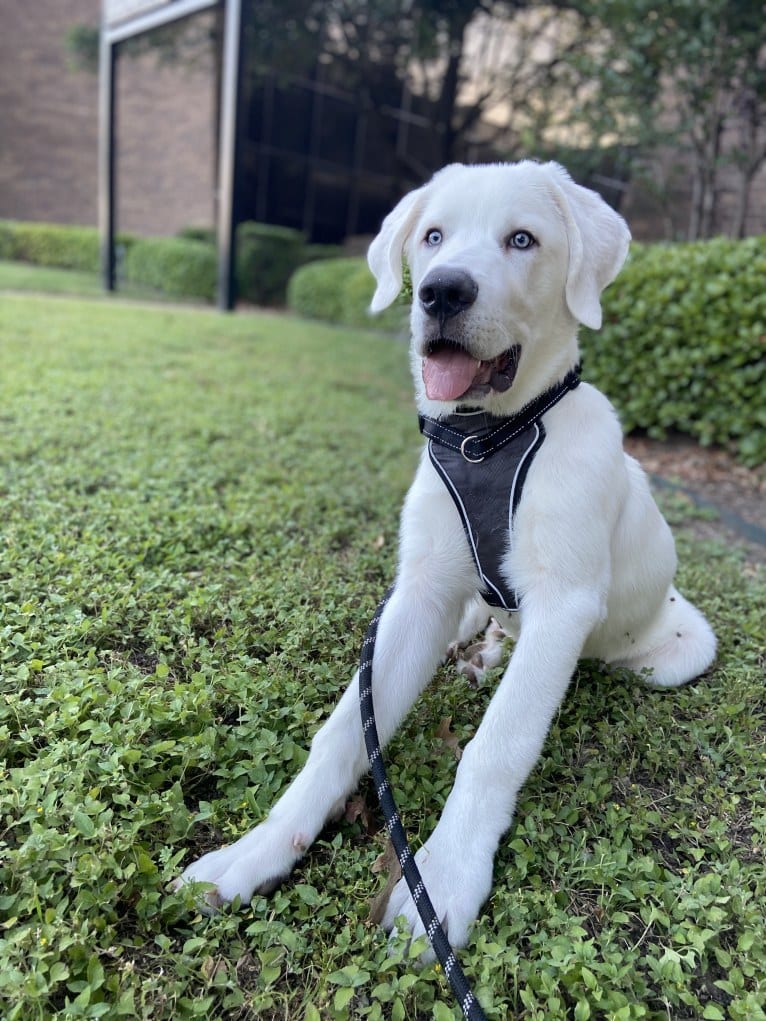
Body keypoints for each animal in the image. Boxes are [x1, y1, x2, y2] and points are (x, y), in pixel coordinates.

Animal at [179, 163, 719, 951]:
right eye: (433, 236)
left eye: (522, 239)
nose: (441, 291)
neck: (487, 438)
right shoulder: (422, 595)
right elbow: (344, 731)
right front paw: (260, 849)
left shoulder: (563, 607)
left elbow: (497, 745)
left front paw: (445, 875)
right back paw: (479, 649)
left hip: (676, 652)